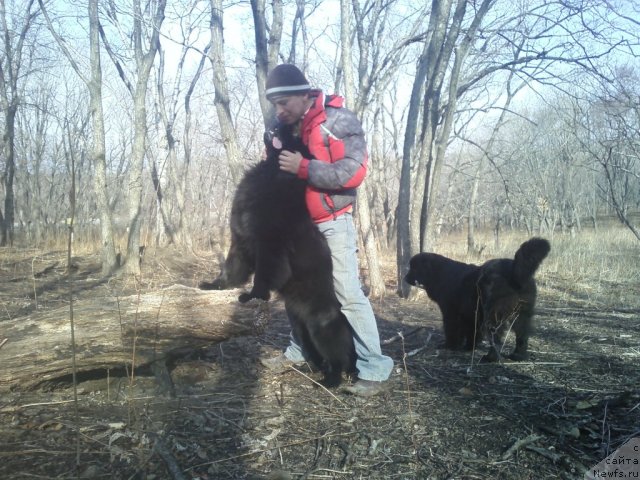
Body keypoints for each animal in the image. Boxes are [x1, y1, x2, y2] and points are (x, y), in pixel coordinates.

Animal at [199, 123, 356, 386]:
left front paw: (252, 296)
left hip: (322, 327)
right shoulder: (240, 242)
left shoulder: (269, 246)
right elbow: (231, 269)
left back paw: (331, 380)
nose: (275, 124)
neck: (273, 172)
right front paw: (213, 285)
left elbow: (263, 276)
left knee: (339, 356)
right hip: (303, 329)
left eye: (290, 133)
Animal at [404, 238, 552, 362]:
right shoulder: (470, 314)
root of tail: (513, 269)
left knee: (496, 338)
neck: (439, 274)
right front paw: (469, 347)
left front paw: (450, 345)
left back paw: (490, 358)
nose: (405, 278)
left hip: (494, 314)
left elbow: (451, 329)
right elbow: (471, 332)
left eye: (414, 267)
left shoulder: (451, 312)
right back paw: (518, 356)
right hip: (522, 313)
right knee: (522, 336)